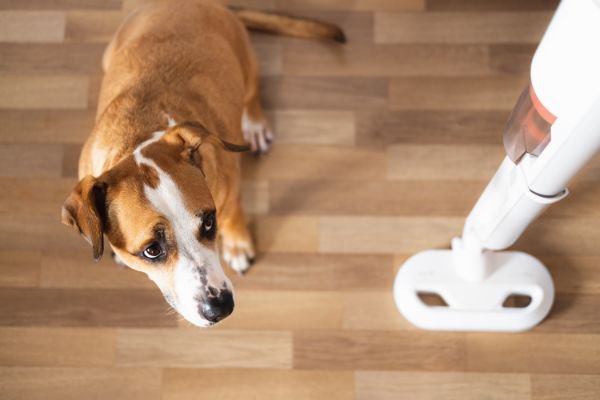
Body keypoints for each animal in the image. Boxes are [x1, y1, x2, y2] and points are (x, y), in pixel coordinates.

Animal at [61, 0, 344, 324]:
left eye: (209, 222)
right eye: (151, 251)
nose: (220, 308)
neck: (139, 136)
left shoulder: (230, 190)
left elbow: (234, 215)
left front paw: (237, 246)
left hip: (245, 60)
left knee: (252, 91)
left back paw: (255, 124)